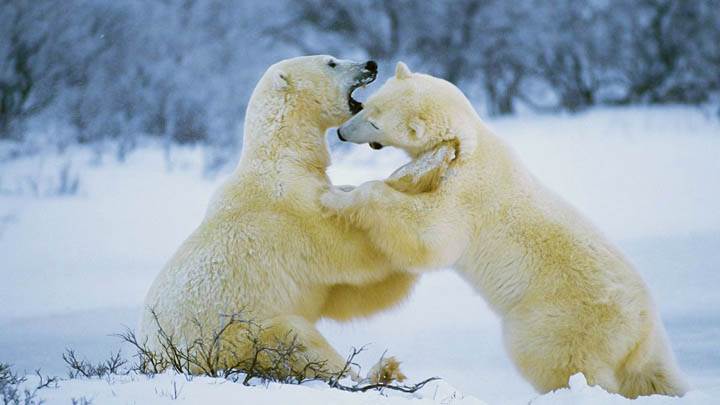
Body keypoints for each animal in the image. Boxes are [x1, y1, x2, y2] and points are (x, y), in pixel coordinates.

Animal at [138, 56, 416, 379]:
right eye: (332, 62)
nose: (371, 64)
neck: (283, 157)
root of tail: (154, 359)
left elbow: (346, 295)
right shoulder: (294, 212)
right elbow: (352, 253)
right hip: (232, 338)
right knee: (293, 338)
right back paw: (376, 370)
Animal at [321, 62, 688, 398]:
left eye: (374, 121)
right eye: (368, 105)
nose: (342, 133)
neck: (470, 144)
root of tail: (643, 327)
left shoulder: (466, 195)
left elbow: (430, 234)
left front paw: (338, 198)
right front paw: (343, 188)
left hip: (561, 319)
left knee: (554, 358)